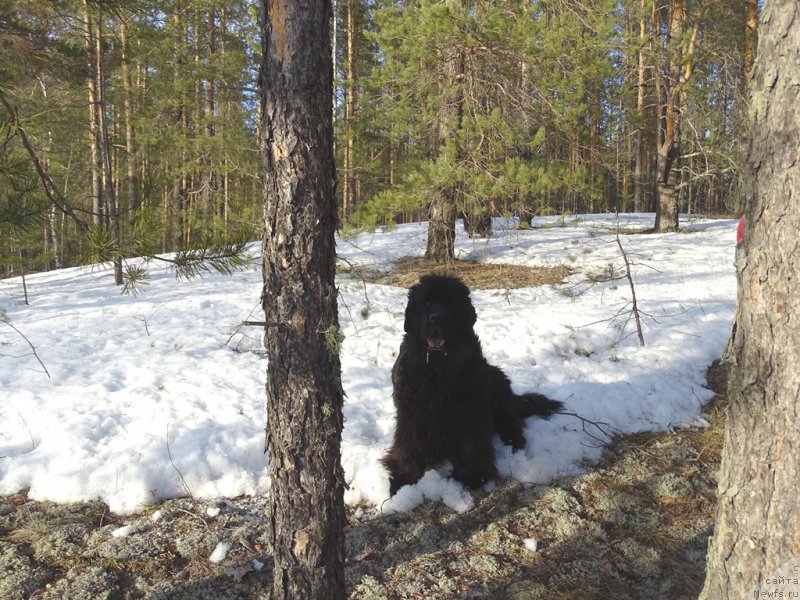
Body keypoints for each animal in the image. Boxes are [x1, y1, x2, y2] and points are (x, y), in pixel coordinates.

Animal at [382, 274, 564, 494]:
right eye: (426, 303)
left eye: (449, 303)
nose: (436, 318)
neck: (437, 367)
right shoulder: (411, 411)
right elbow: (407, 444)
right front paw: (403, 480)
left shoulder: (469, 410)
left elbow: (470, 446)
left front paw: (472, 476)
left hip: (499, 385)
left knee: (512, 422)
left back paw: (514, 442)